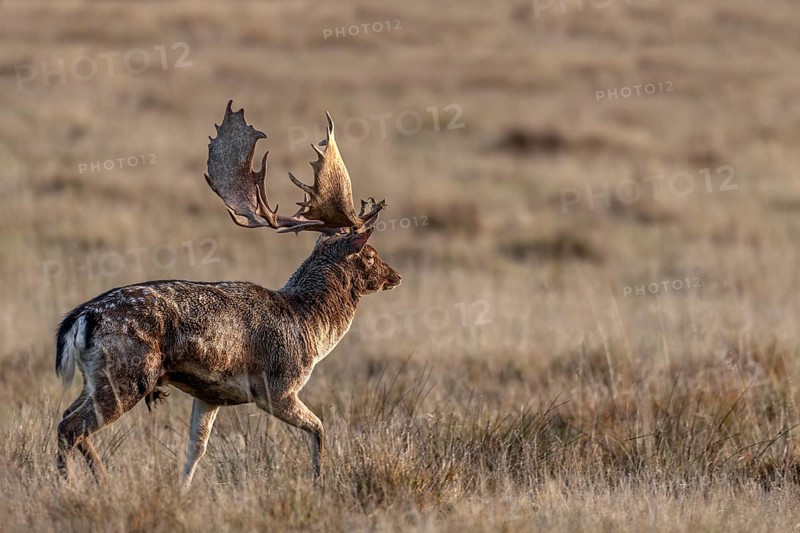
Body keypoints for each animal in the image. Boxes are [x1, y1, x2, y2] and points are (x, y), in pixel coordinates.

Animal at [54, 101, 401, 490]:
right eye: (370, 253)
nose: (395, 275)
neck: (310, 327)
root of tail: (81, 318)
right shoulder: (277, 388)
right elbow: (320, 428)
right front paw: (318, 482)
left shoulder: (209, 395)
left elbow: (196, 450)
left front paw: (182, 491)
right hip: (127, 374)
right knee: (70, 427)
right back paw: (68, 485)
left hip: (94, 377)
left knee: (70, 421)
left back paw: (103, 480)